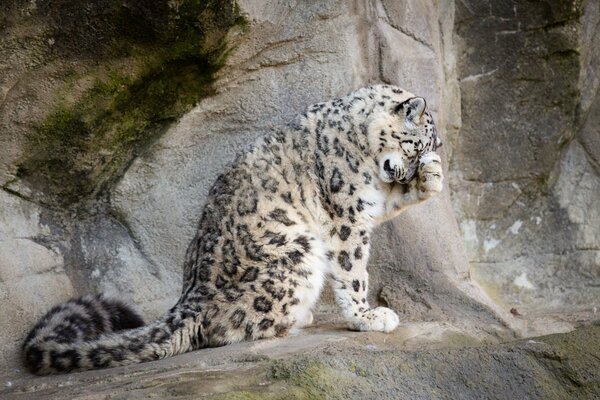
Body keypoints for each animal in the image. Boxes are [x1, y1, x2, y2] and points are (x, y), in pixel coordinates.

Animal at [23, 84, 442, 376]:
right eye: (415, 145)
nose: (407, 171)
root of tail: (191, 297)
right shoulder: (348, 214)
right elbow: (353, 272)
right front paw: (367, 317)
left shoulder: (370, 199)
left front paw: (433, 176)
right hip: (297, 251)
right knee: (225, 329)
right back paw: (295, 320)